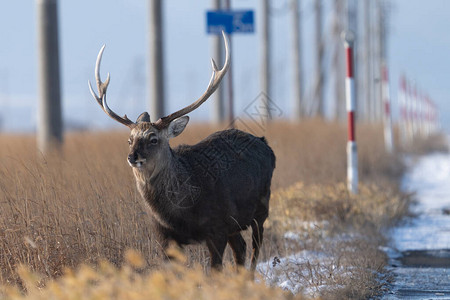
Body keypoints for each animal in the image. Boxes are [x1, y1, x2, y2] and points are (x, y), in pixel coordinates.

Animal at [89, 32, 274, 272]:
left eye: (153, 139)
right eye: (129, 140)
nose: (132, 157)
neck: (181, 211)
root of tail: (265, 144)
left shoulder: (217, 228)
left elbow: (215, 270)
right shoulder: (165, 237)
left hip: (261, 207)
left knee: (254, 249)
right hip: (236, 224)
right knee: (241, 249)